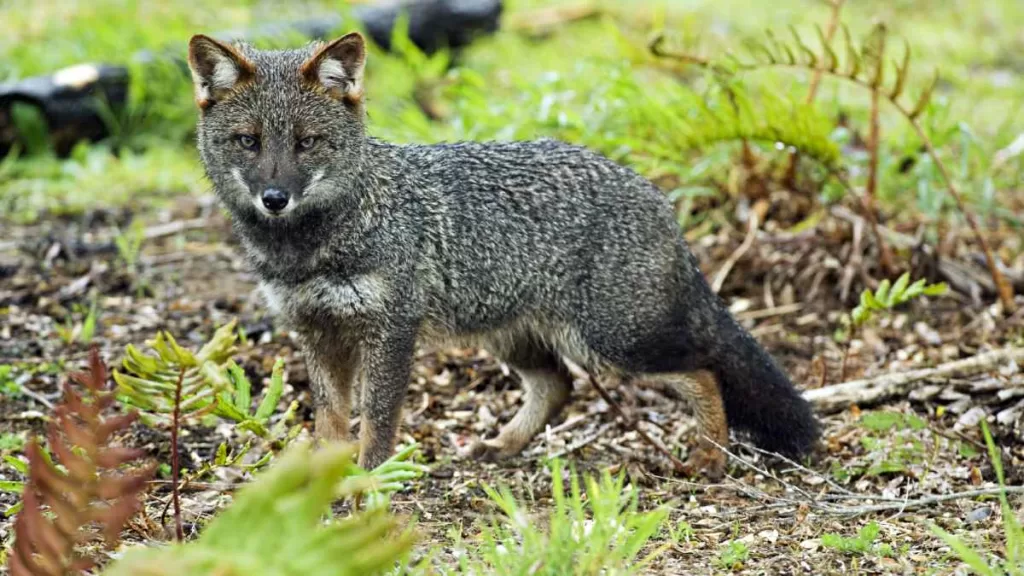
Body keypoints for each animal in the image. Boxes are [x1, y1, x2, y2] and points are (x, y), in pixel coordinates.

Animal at [188, 29, 819, 473]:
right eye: (248, 142)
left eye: (307, 143)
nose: (274, 199)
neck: (310, 247)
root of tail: (657, 196)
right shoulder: (316, 332)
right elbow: (331, 424)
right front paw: (317, 488)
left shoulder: (391, 331)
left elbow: (378, 424)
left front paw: (369, 483)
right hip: (512, 337)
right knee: (558, 386)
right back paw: (503, 446)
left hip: (612, 345)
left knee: (704, 371)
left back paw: (710, 458)